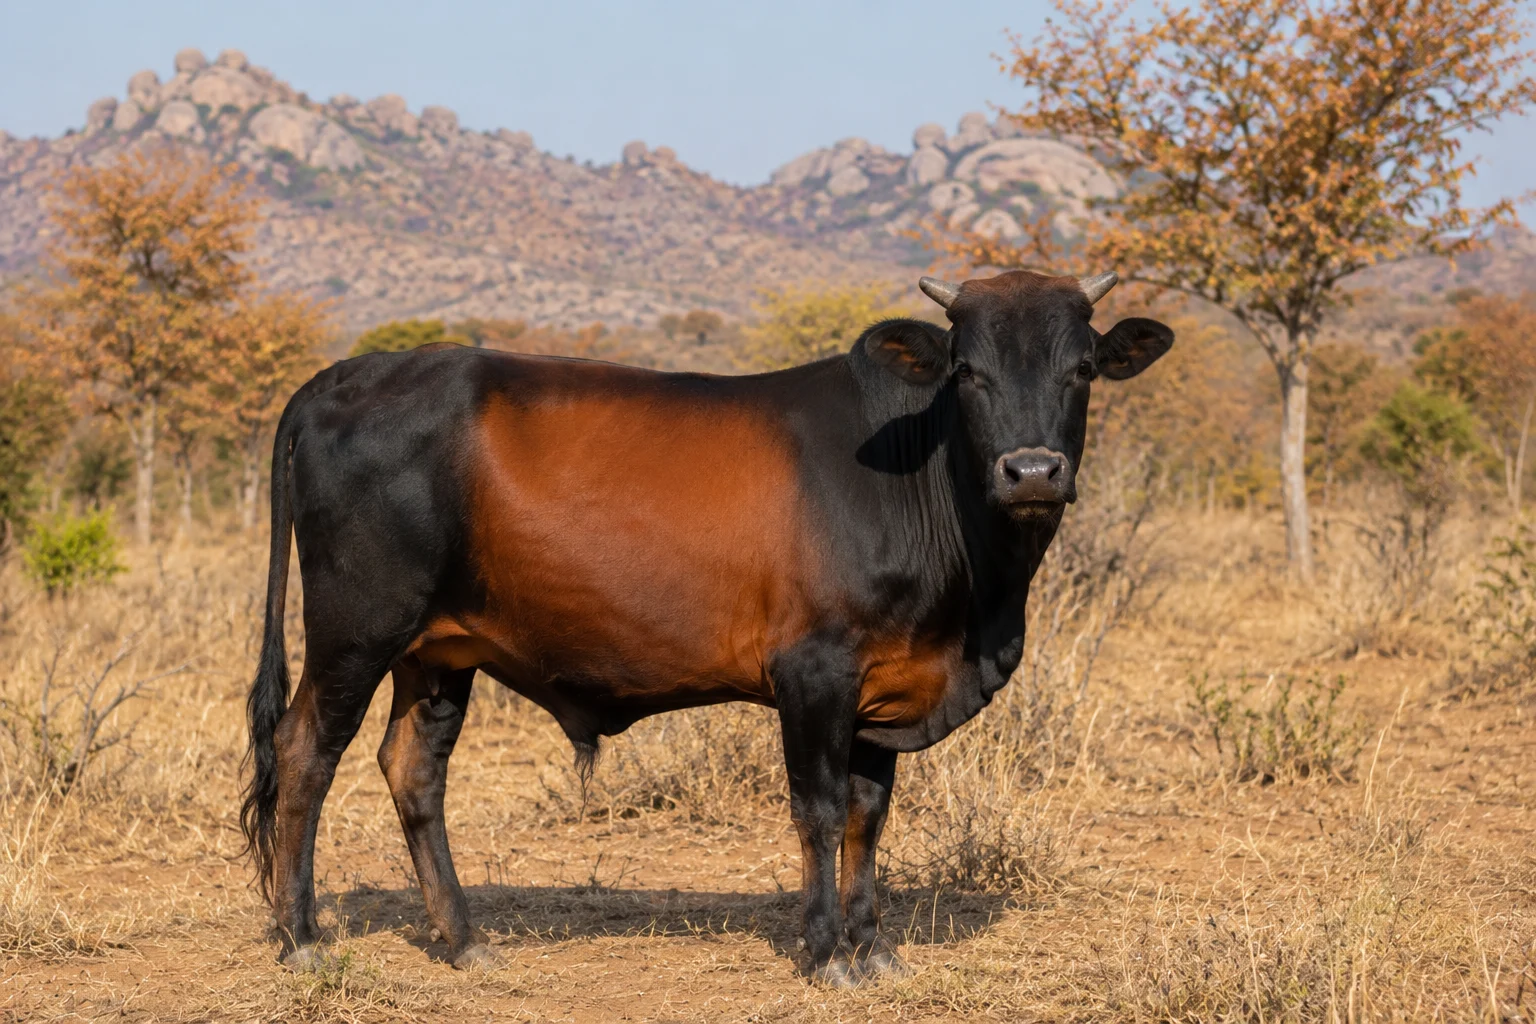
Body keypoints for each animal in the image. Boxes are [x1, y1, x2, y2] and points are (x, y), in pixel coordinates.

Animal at [239, 269, 1172, 985]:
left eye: (1083, 367)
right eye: (970, 371)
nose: (1033, 471)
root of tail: (341, 376)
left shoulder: (884, 688)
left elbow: (868, 817)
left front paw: (874, 950)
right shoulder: (815, 672)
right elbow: (820, 810)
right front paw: (826, 953)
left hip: (438, 652)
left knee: (413, 770)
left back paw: (464, 941)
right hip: (356, 631)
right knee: (304, 752)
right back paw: (302, 939)